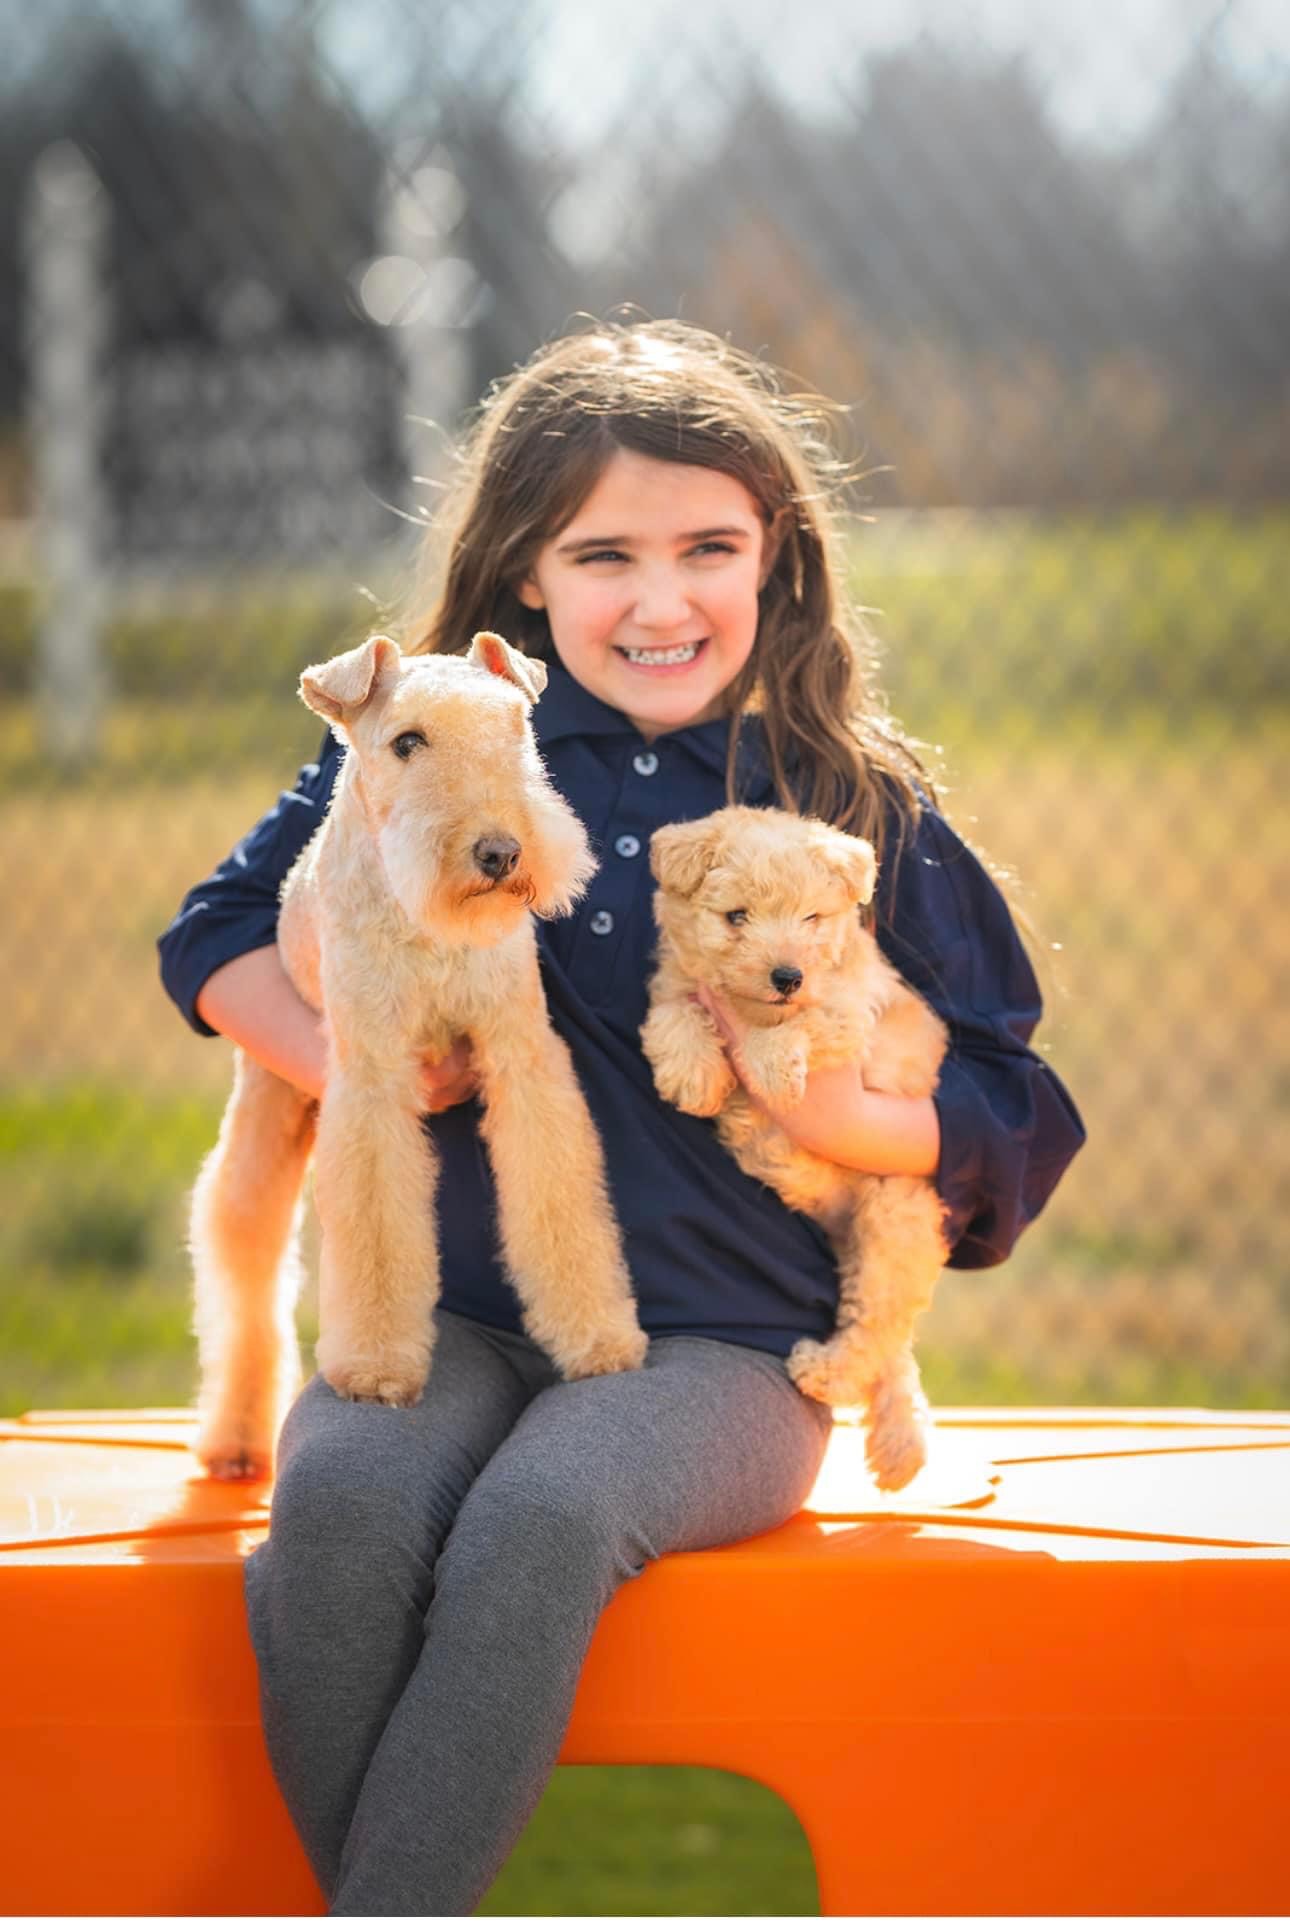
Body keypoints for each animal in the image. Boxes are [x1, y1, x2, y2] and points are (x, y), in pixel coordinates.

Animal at [190, 630, 647, 1481]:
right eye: (408, 742)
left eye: (515, 729)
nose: (501, 851)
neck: (430, 933)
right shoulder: (373, 1081)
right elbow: (377, 1232)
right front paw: (375, 1371)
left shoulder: (523, 1057)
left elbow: (560, 1204)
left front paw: (599, 1338)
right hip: (268, 1112)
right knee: (245, 1260)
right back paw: (234, 1439)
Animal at [641, 806, 948, 1491]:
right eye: (736, 916)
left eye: (811, 918)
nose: (787, 976)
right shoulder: (675, 984)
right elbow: (674, 1014)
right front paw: (694, 1075)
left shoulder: (846, 1012)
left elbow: (794, 1026)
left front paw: (770, 1069)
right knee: (891, 1345)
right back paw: (900, 1444)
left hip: (893, 1218)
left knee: (876, 1328)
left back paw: (826, 1373)